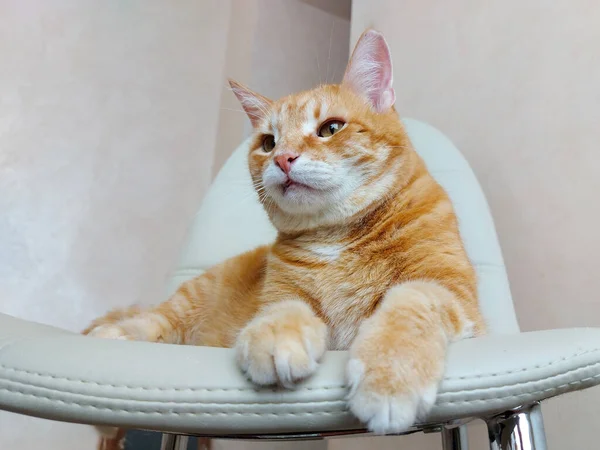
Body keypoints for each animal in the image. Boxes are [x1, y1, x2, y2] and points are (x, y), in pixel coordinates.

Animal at [84, 29, 486, 442]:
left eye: (330, 128)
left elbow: (409, 303)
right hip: (185, 302)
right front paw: (276, 337)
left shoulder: (448, 289)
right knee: (153, 320)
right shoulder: (281, 293)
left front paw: (390, 374)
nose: (282, 159)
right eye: (268, 143)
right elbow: (284, 309)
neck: (336, 236)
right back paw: (110, 333)